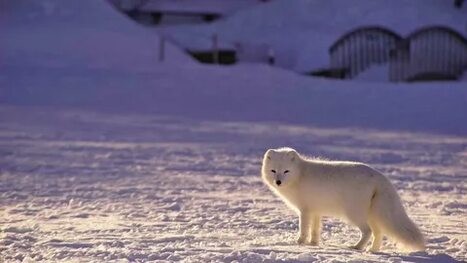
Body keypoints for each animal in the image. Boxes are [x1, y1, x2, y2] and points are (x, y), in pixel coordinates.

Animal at [262, 147, 426, 253]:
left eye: (286, 171)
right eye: (273, 171)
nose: (278, 182)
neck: (300, 175)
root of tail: (380, 177)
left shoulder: (305, 210)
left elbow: (303, 229)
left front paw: (299, 243)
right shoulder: (316, 211)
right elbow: (315, 230)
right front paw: (313, 244)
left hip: (354, 214)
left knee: (368, 231)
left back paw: (357, 247)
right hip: (372, 215)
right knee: (378, 233)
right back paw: (372, 251)